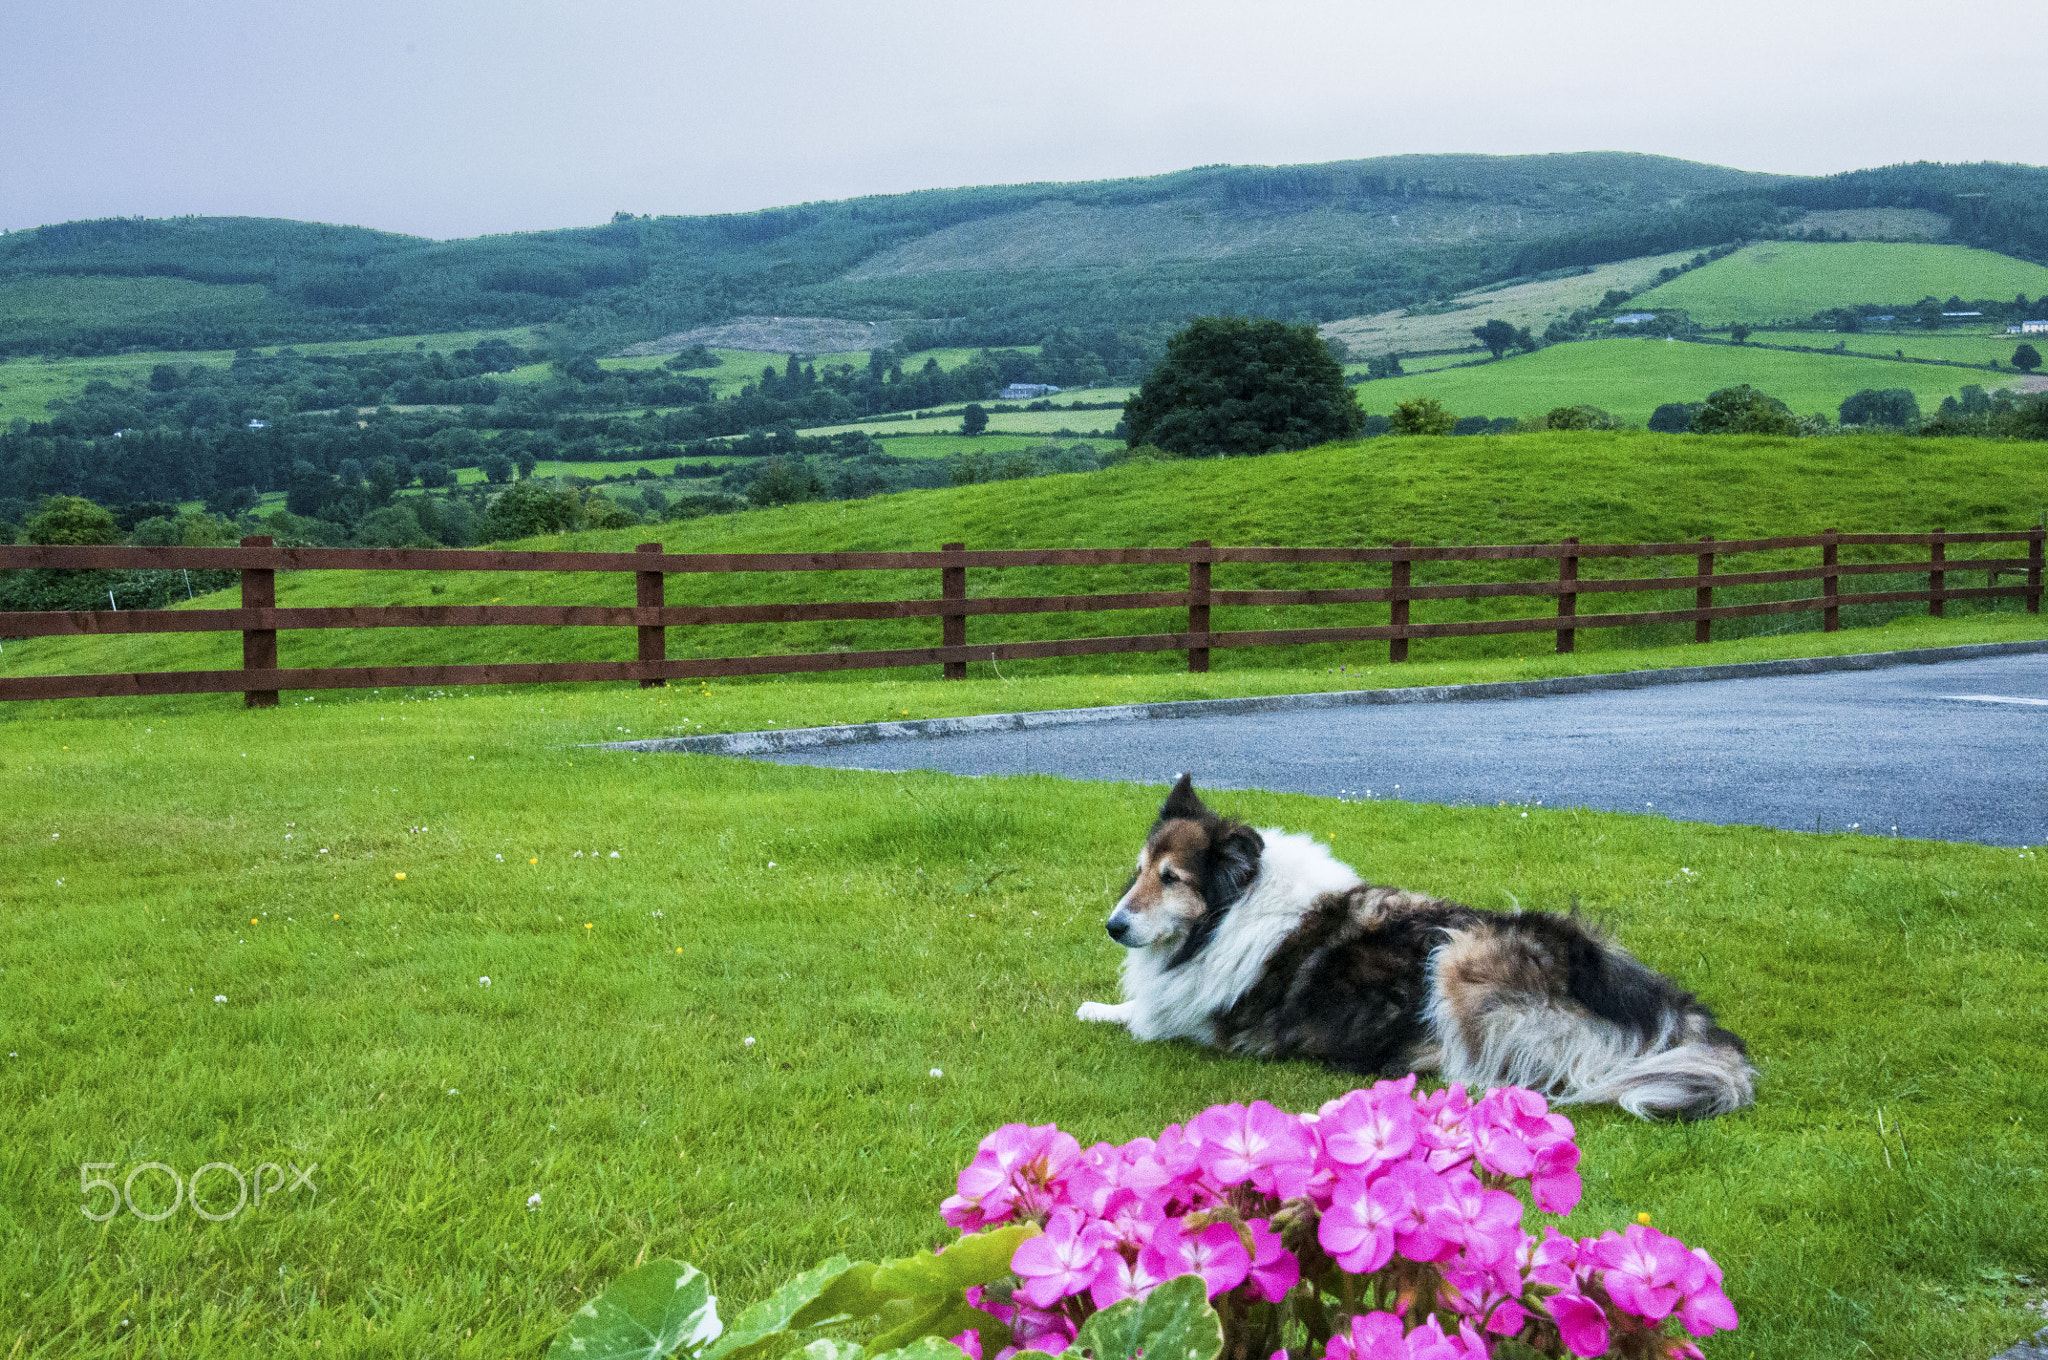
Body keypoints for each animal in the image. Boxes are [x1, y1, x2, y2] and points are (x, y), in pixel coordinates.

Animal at [1073, 770, 1761, 1122]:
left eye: (1173, 879)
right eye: (1141, 871)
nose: (1113, 926)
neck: (1230, 912)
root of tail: (1660, 1010)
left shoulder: (1202, 1025)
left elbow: (1140, 1016)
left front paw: (1100, 1009)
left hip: (1459, 956)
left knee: (1494, 1071)